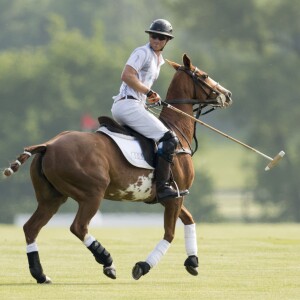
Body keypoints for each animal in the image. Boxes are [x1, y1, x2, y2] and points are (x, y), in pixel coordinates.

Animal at [2, 54, 232, 284]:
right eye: (204, 75)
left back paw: (41, 274)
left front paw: (192, 261)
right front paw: (142, 266)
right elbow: (170, 234)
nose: (228, 95)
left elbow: (189, 219)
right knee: (78, 227)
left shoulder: (173, 195)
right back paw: (107, 262)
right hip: (92, 192)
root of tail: (48, 145)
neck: (176, 129)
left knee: (31, 227)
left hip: (52, 197)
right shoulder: (175, 196)